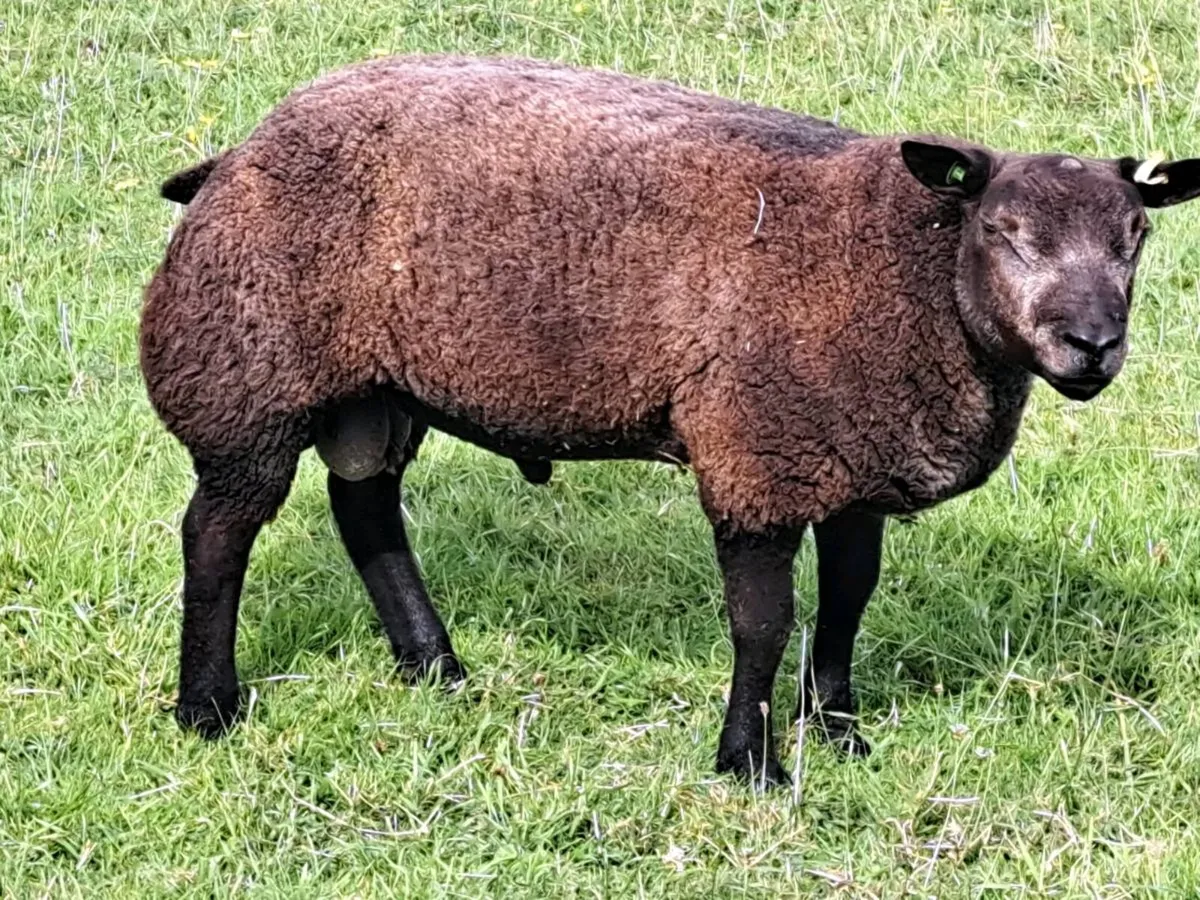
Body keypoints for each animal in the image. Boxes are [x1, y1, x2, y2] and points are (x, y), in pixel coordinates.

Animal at [140, 54, 1200, 787]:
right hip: (247, 374)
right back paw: (209, 707)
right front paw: (751, 763)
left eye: (1135, 237)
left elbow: (850, 601)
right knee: (217, 534)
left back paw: (435, 667)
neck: (907, 269)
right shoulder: (757, 457)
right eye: (1003, 232)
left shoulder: (851, 458)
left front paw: (840, 730)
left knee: (366, 511)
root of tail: (238, 149)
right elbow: (763, 624)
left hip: (378, 386)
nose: (1092, 343)